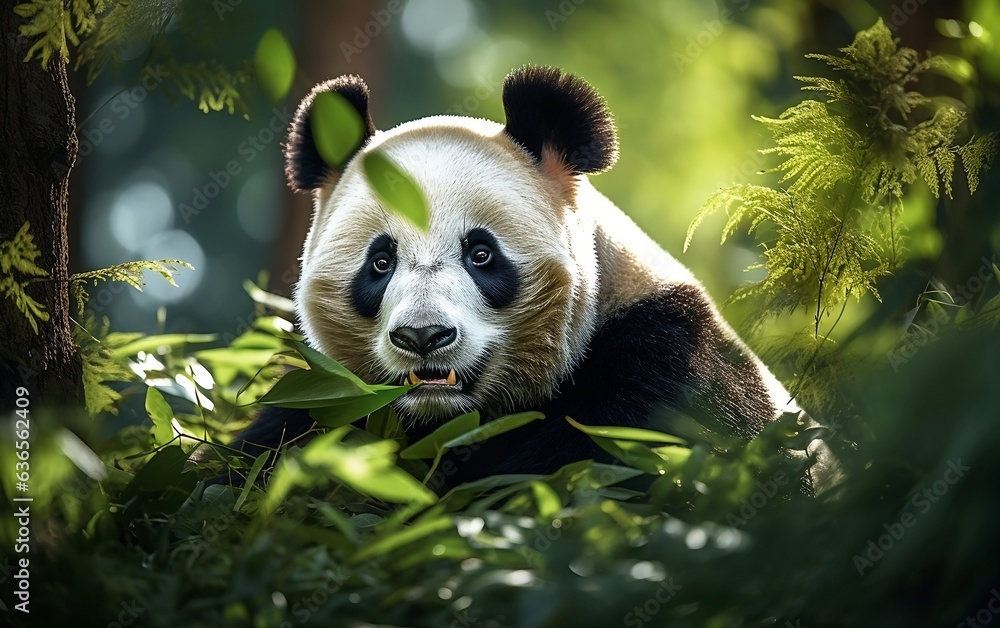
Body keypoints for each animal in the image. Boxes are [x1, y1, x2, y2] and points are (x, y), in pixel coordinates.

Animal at [232, 67, 820, 490]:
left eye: (481, 254)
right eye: (380, 262)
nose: (423, 337)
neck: (450, 419)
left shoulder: (664, 370)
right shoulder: (326, 400)